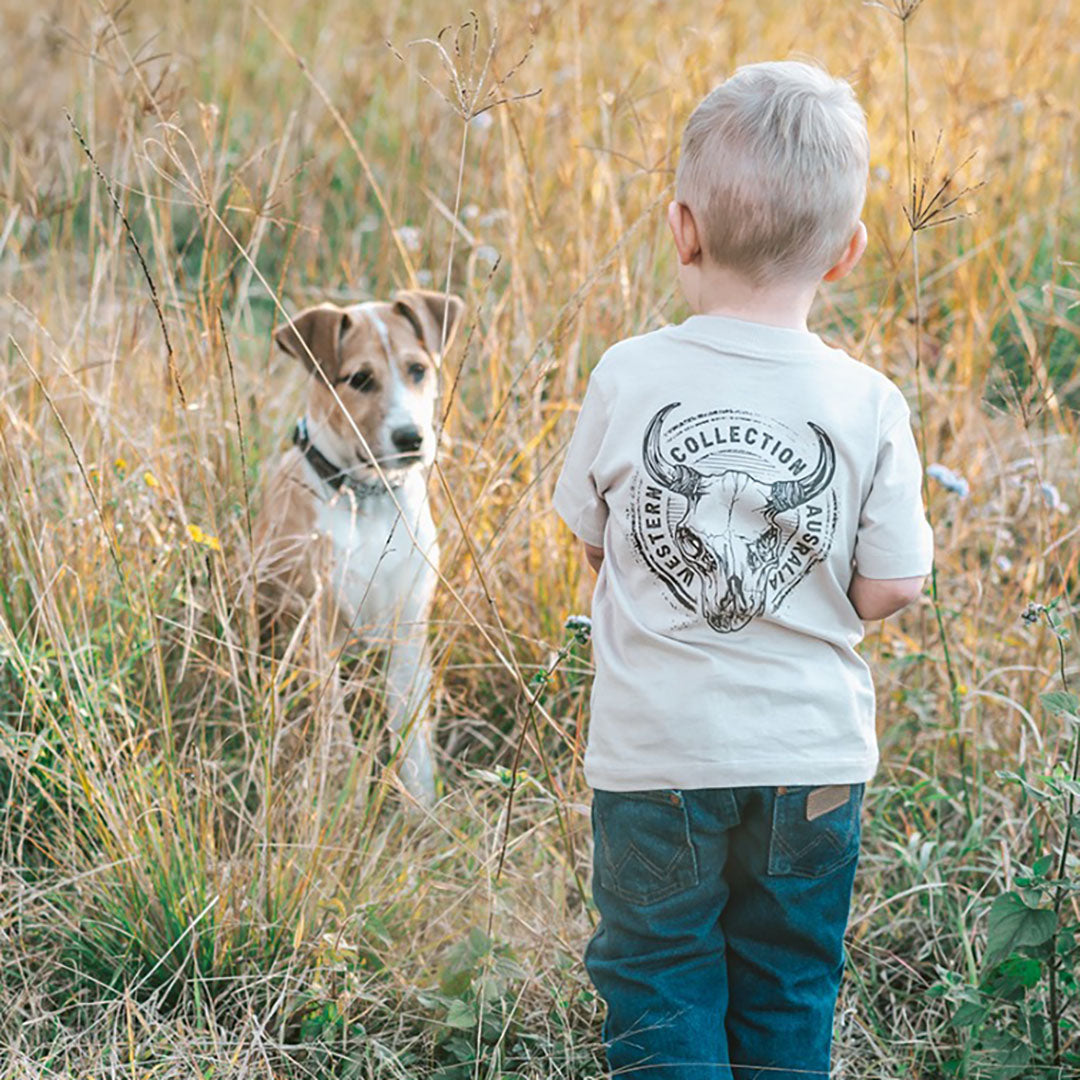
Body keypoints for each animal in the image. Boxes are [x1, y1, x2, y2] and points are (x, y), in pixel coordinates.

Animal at [251, 291, 464, 807]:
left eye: (417, 370)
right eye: (360, 379)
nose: (411, 438)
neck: (368, 497)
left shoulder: (409, 628)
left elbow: (413, 735)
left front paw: (421, 810)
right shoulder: (319, 630)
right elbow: (337, 733)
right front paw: (341, 805)